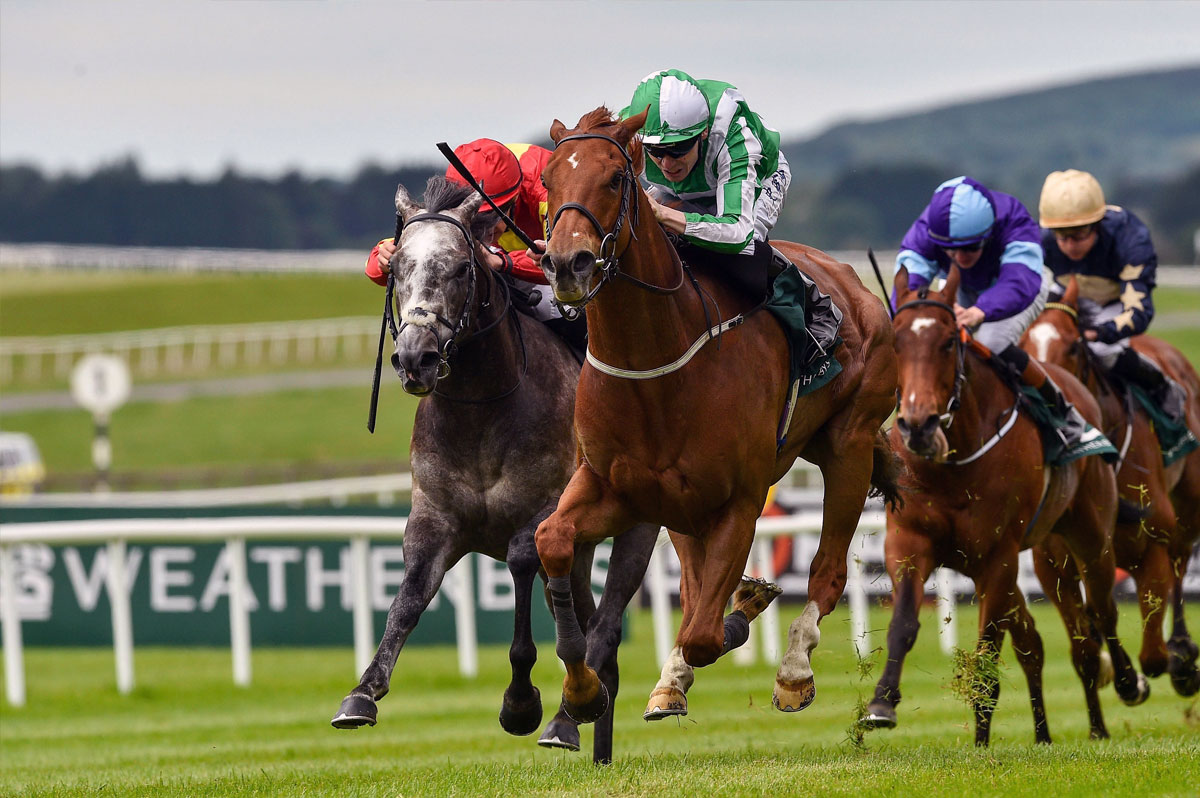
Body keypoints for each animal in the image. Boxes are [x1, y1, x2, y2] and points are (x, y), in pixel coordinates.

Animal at [328, 176, 659, 764]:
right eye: (397, 268)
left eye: (462, 267)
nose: (415, 358)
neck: (480, 411)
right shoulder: (434, 517)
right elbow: (407, 599)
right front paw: (362, 693)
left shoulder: (544, 510)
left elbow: (525, 567)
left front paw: (520, 702)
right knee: (588, 622)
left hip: (637, 525)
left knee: (605, 624)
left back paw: (567, 718)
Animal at [531, 107, 902, 726]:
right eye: (548, 179)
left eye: (615, 178)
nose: (567, 263)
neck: (656, 364)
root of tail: (854, 284)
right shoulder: (619, 488)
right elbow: (552, 538)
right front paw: (583, 691)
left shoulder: (740, 499)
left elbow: (705, 632)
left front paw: (749, 604)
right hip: (687, 504)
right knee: (692, 584)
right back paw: (671, 681)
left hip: (848, 445)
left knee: (825, 571)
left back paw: (793, 669)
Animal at [861, 265, 1149, 745]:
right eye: (896, 343)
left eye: (948, 342)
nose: (918, 424)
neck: (953, 462)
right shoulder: (909, 541)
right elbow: (904, 623)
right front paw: (882, 702)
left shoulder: (998, 555)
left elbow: (988, 649)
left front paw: (980, 738)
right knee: (1037, 642)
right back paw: (1045, 733)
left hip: (1088, 536)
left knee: (1100, 613)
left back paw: (1124, 688)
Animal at [1021, 277, 1200, 697]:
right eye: (1023, 343)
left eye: (1072, 344)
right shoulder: (1052, 563)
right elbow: (1085, 633)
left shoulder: (1151, 543)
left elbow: (1152, 656)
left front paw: (1150, 672)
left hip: (1188, 504)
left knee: (1182, 559)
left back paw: (1183, 654)